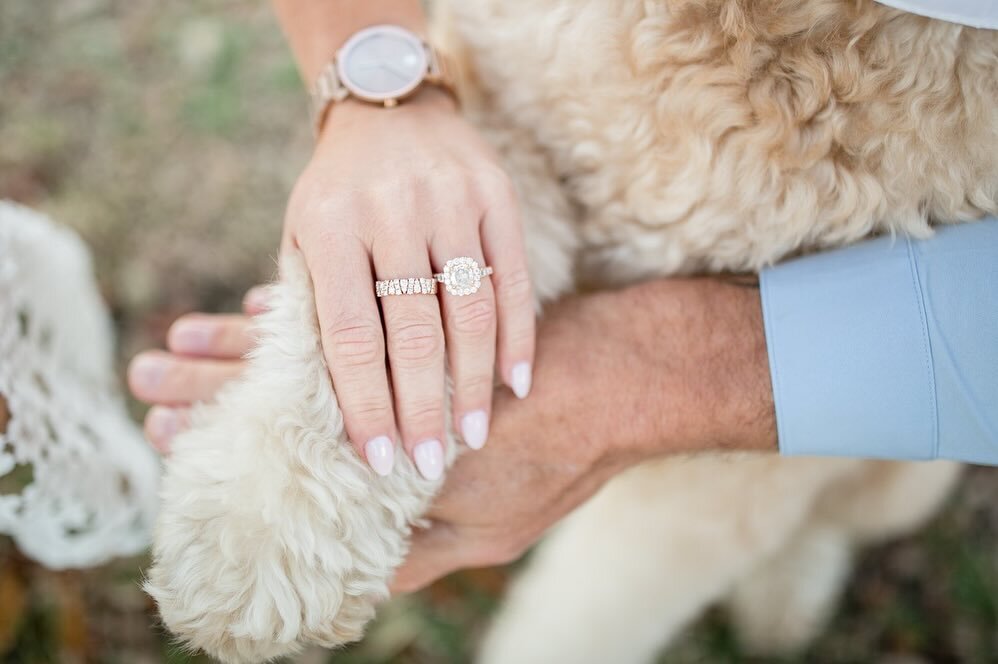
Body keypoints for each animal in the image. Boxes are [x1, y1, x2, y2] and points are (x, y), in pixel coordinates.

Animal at [145, 2, 996, 660]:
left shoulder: (726, 461)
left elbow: (589, 613)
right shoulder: (500, 135)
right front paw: (252, 536)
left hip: (900, 473)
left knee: (828, 520)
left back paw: (788, 596)